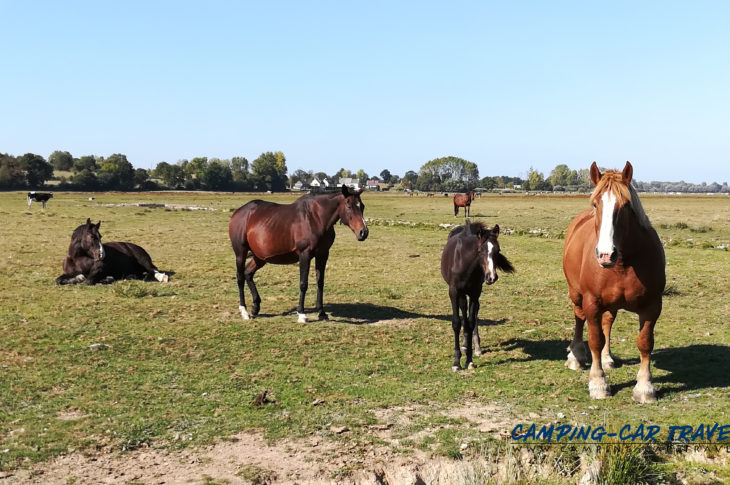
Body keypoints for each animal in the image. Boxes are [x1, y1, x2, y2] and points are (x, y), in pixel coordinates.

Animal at [229, 182, 366, 322]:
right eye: (349, 206)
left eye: (362, 206)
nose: (363, 232)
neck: (316, 218)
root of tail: (239, 212)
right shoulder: (305, 255)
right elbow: (303, 284)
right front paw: (301, 314)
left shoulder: (322, 254)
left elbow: (320, 282)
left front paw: (322, 313)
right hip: (241, 253)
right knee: (240, 278)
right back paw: (244, 311)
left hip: (260, 257)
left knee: (248, 273)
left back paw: (255, 307)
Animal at [438, 220, 512, 370]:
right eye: (480, 251)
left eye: (498, 250)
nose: (491, 277)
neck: (465, 264)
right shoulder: (454, 292)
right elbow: (456, 323)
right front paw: (456, 362)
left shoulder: (474, 293)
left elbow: (471, 323)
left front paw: (469, 360)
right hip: (461, 294)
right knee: (463, 312)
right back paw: (465, 344)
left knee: (473, 315)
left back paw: (475, 346)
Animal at [556, 162, 664, 400]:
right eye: (596, 204)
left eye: (625, 205)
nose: (606, 255)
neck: (623, 263)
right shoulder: (592, 302)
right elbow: (595, 340)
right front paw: (598, 383)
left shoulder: (652, 306)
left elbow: (645, 342)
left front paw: (645, 387)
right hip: (576, 294)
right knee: (579, 318)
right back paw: (576, 356)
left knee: (607, 322)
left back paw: (607, 359)